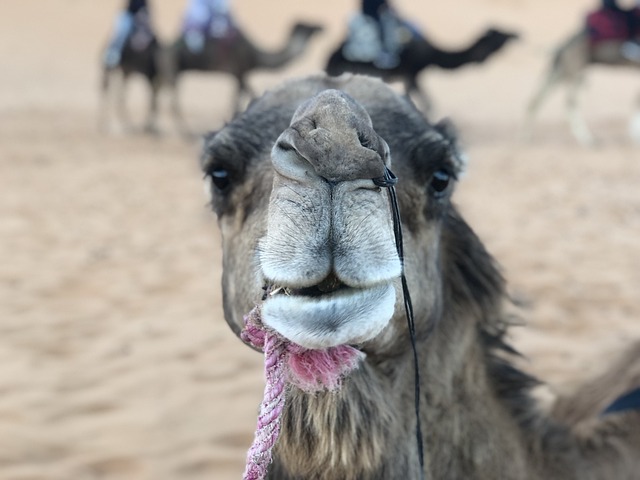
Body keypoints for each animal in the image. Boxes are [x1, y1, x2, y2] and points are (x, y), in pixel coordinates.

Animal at [164, 21, 322, 132]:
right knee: (173, 103)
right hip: (173, 68)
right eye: (309, 26)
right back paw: (186, 134)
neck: (255, 55)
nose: (321, 27)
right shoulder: (239, 72)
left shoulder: (239, 75)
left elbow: (240, 97)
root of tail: (167, 48)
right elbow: (243, 97)